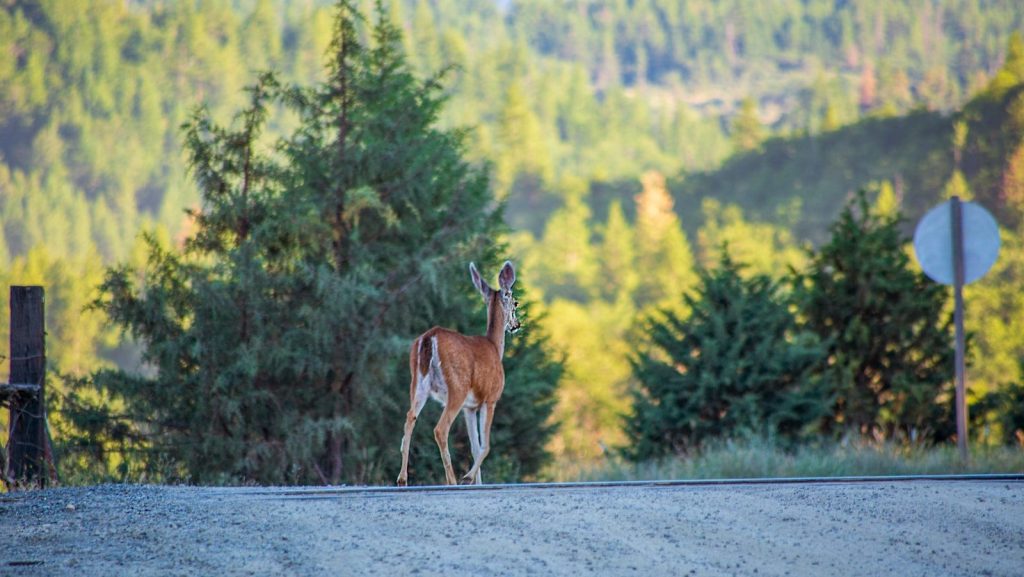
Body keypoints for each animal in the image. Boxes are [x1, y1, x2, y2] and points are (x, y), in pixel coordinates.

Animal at [397, 261, 520, 486]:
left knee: (410, 418)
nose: (516, 325)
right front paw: (469, 477)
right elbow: (485, 445)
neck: (494, 346)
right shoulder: (490, 398)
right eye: (515, 303)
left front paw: (477, 483)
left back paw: (402, 479)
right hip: (457, 386)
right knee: (440, 429)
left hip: (417, 383)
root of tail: (429, 338)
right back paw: (452, 480)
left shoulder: (469, 407)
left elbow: (474, 446)